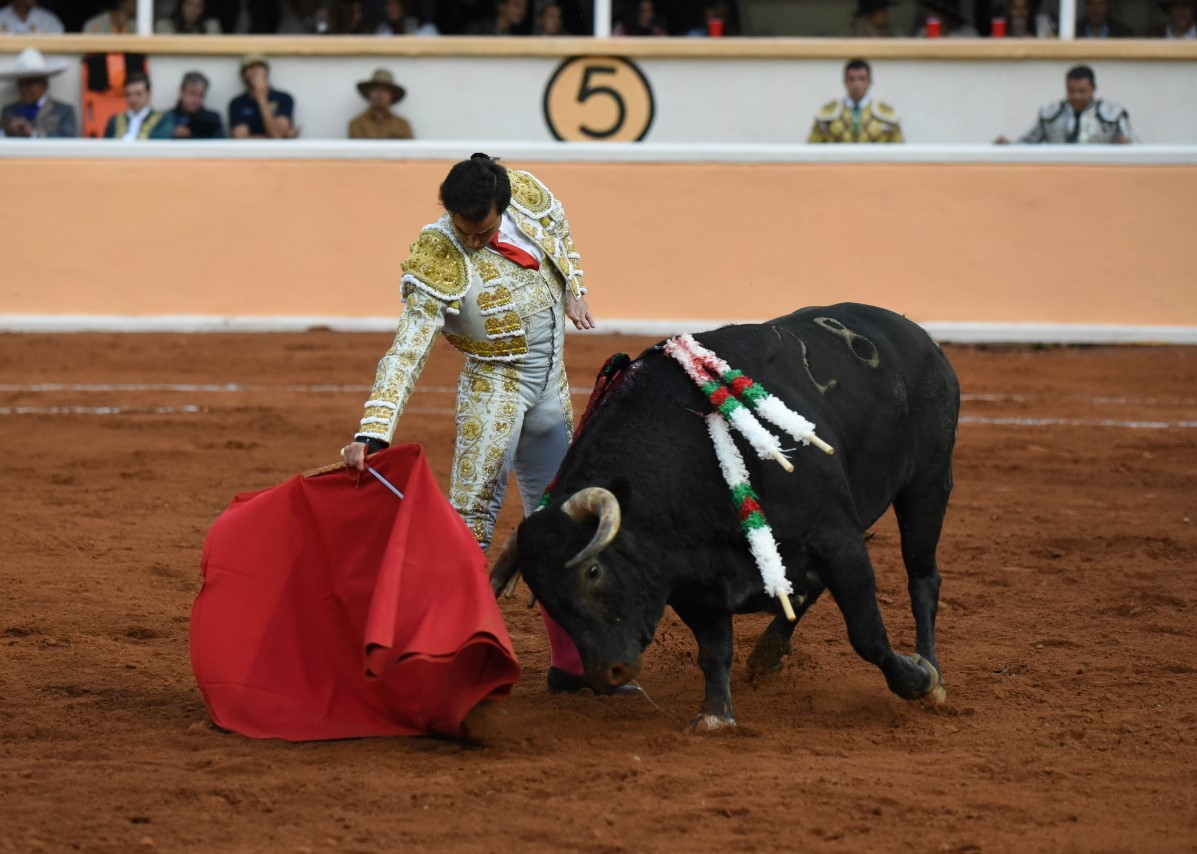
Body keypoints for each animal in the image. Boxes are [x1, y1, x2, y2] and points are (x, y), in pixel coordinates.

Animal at [491, 303, 959, 730]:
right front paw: (715, 714)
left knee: (922, 578)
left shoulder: (837, 540)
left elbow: (867, 635)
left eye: (592, 571)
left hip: (928, 481)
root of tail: (916, 333)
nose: (608, 673)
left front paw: (918, 680)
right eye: (543, 595)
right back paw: (767, 656)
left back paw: (933, 670)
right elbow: (714, 650)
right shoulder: (692, 580)